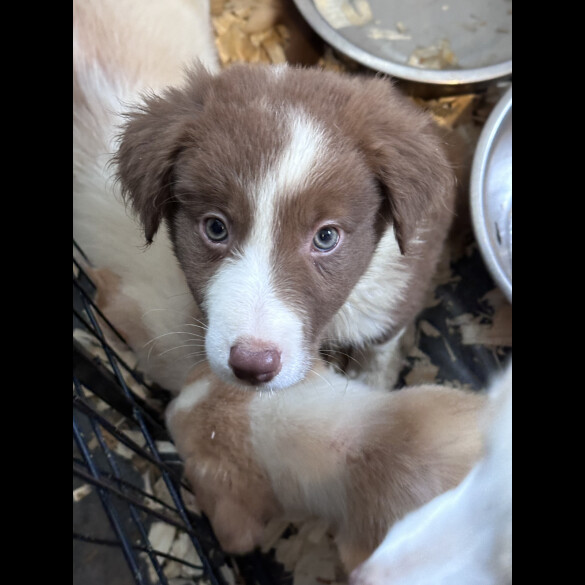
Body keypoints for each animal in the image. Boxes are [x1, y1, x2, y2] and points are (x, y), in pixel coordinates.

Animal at [74, 1, 456, 392]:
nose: (253, 364)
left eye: (326, 237)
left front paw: (373, 382)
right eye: (215, 228)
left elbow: (380, 348)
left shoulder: (395, 291)